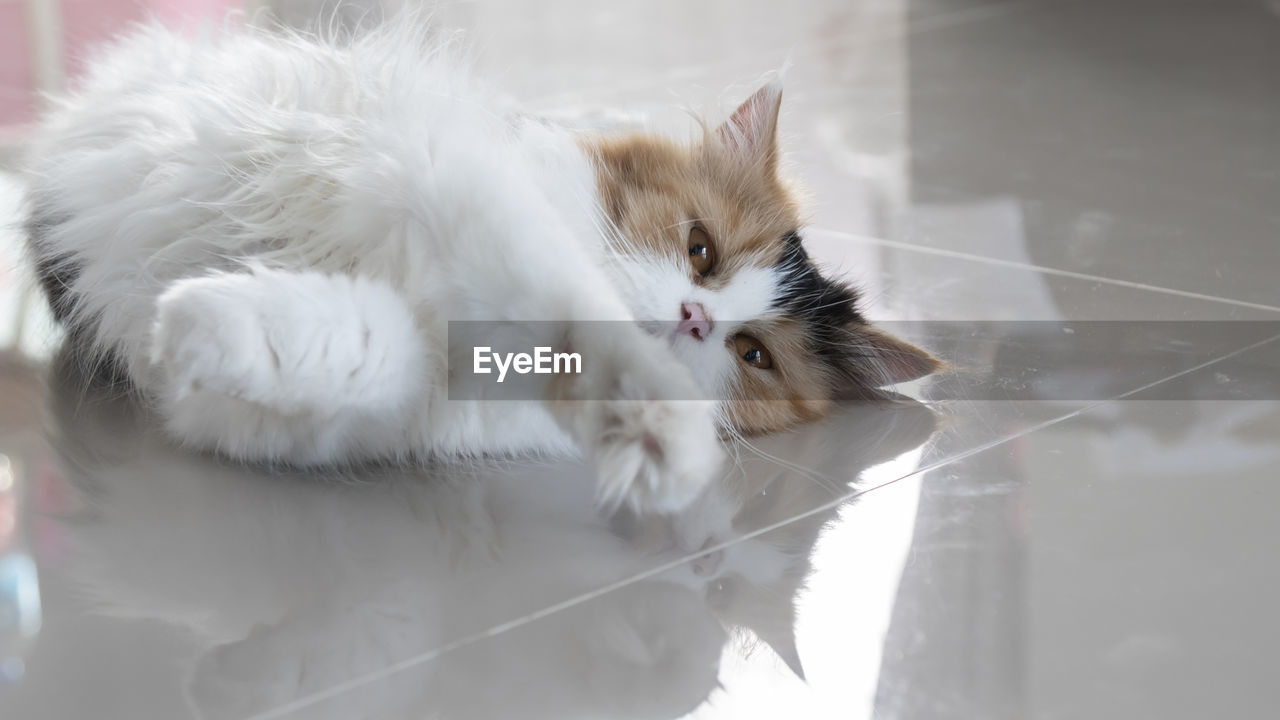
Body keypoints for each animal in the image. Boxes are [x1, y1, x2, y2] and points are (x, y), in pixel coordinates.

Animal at [22, 16, 942, 512]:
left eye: (752, 354)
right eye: (700, 251)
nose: (693, 318)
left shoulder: (408, 394)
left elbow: (343, 353)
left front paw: (192, 324)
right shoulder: (463, 183)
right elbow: (567, 307)